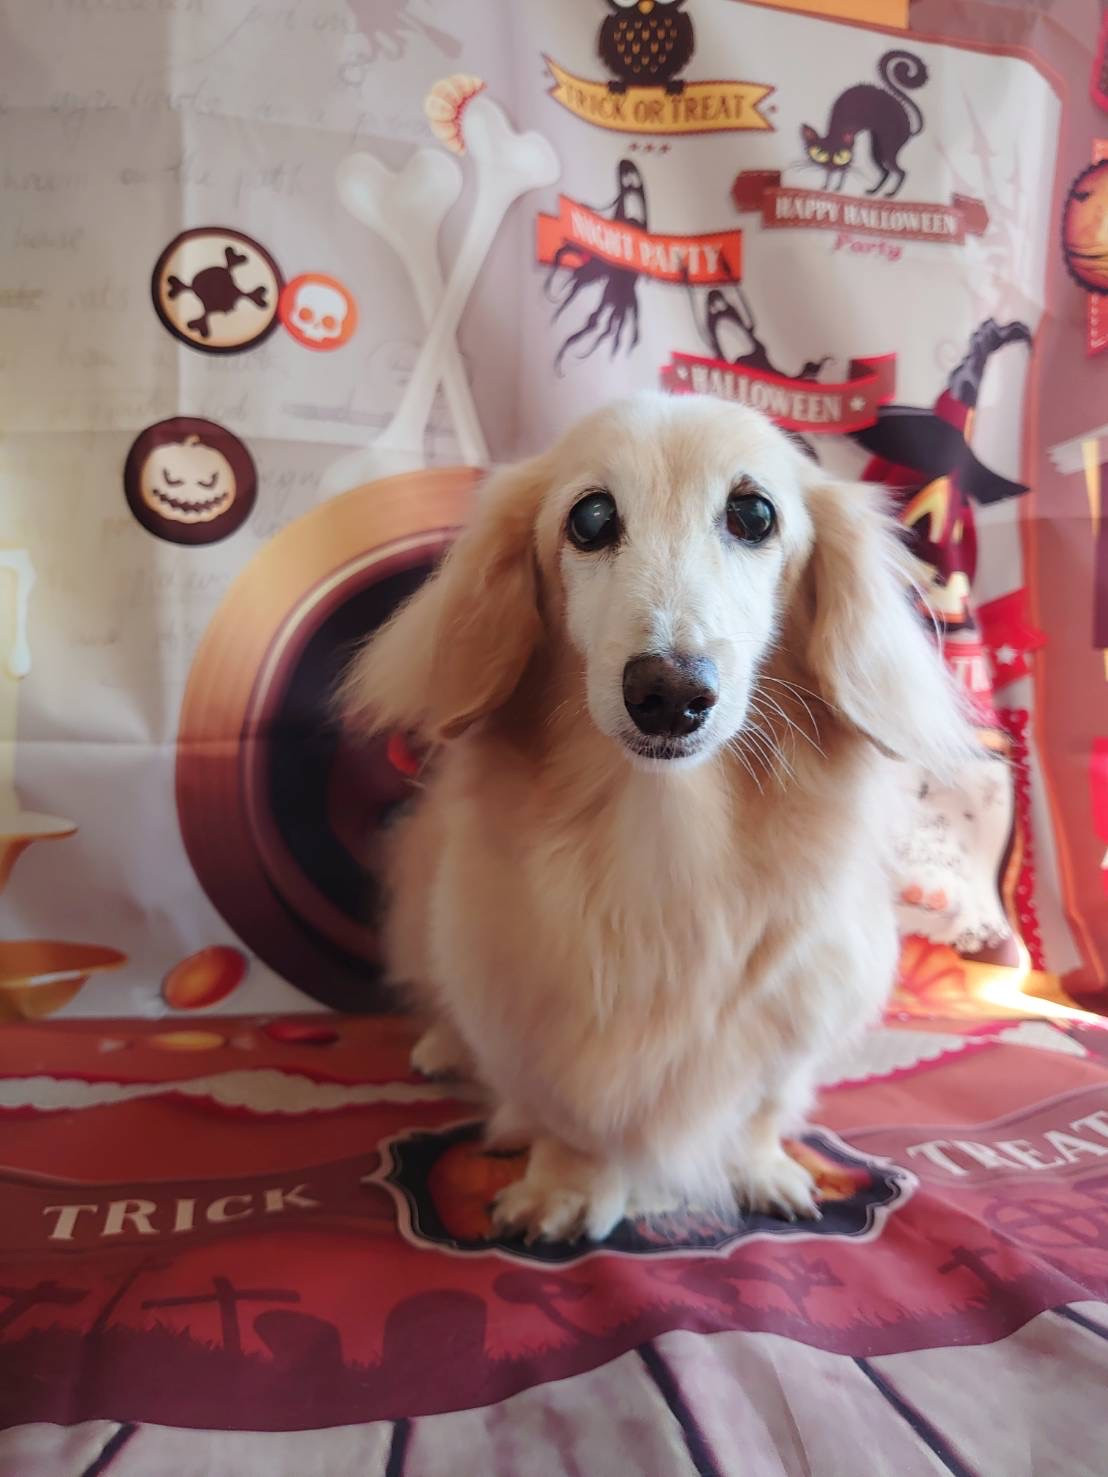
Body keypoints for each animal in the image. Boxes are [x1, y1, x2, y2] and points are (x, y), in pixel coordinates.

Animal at [341, 392, 975, 1241]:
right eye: (591, 517)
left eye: (753, 513)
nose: (670, 692)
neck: (668, 834)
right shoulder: (525, 1008)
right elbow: (567, 1117)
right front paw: (565, 1188)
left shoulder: (804, 1006)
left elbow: (760, 1105)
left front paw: (760, 1168)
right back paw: (443, 1044)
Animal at [801, 50, 928, 198]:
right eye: (819, 154)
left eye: (841, 156)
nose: (832, 165)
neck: (835, 132)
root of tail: (909, 126)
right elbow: (832, 172)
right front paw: (827, 186)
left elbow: (843, 171)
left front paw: (837, 187)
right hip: (877, 149)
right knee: (886, 171)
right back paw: (874, 191)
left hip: (887, 148)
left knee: (901, 171)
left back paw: (891, 194)